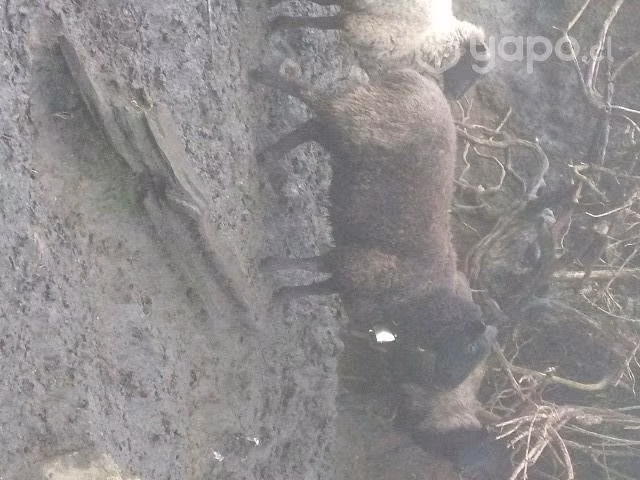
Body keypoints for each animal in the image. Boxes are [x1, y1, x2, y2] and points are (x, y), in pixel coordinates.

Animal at [254, 64, 495, 388]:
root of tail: (415, 78)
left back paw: (268, 153)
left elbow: (315, 286)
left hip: (349, 128)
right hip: (358, 119)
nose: (447, 384)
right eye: (469, 349)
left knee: (314, 125)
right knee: (313, 99)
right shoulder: (362, 265)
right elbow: (314, 265)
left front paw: (280, 296)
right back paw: (261, 81)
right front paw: (269, 266)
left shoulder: (353, 282)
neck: (427, 300)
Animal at [267, 0, 489, 98]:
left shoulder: (364, 21)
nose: (455, 96)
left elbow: (328, 21)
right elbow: (325, 22)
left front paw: (280, 21)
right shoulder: (370, 26)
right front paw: (281, 23)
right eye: (472, 67)